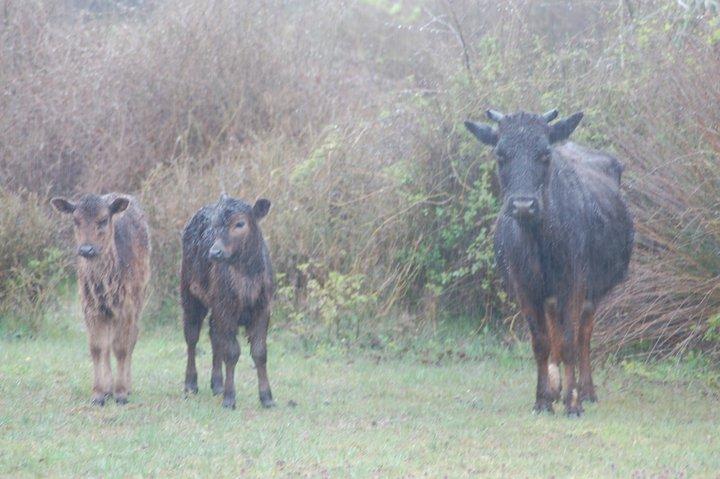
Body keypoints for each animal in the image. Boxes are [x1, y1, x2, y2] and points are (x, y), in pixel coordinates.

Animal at [51, 193, 150, 406]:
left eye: (103, 220)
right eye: (76, 220)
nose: (87, 249)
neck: (105, 286)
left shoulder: (127, 307)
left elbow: (121, 348)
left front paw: (121, 393)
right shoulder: (90, 307)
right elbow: (97, 348)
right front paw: (98, 393)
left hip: (140, 300)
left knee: (132, 339)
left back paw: (126, 386)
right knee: (107, 346)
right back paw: (107, 389)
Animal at [180, 193, 276, 410]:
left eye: (240, 223)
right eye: (215, 225)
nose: (214, 252)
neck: (247, 277)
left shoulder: (263, 308)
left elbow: (260, 352)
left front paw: (267, 397)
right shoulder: (226, 309)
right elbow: (232, 352)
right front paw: (230, 398)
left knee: (214, 336)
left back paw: (217, 384)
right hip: (189, 294)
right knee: (192, 336)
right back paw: (191, 384)